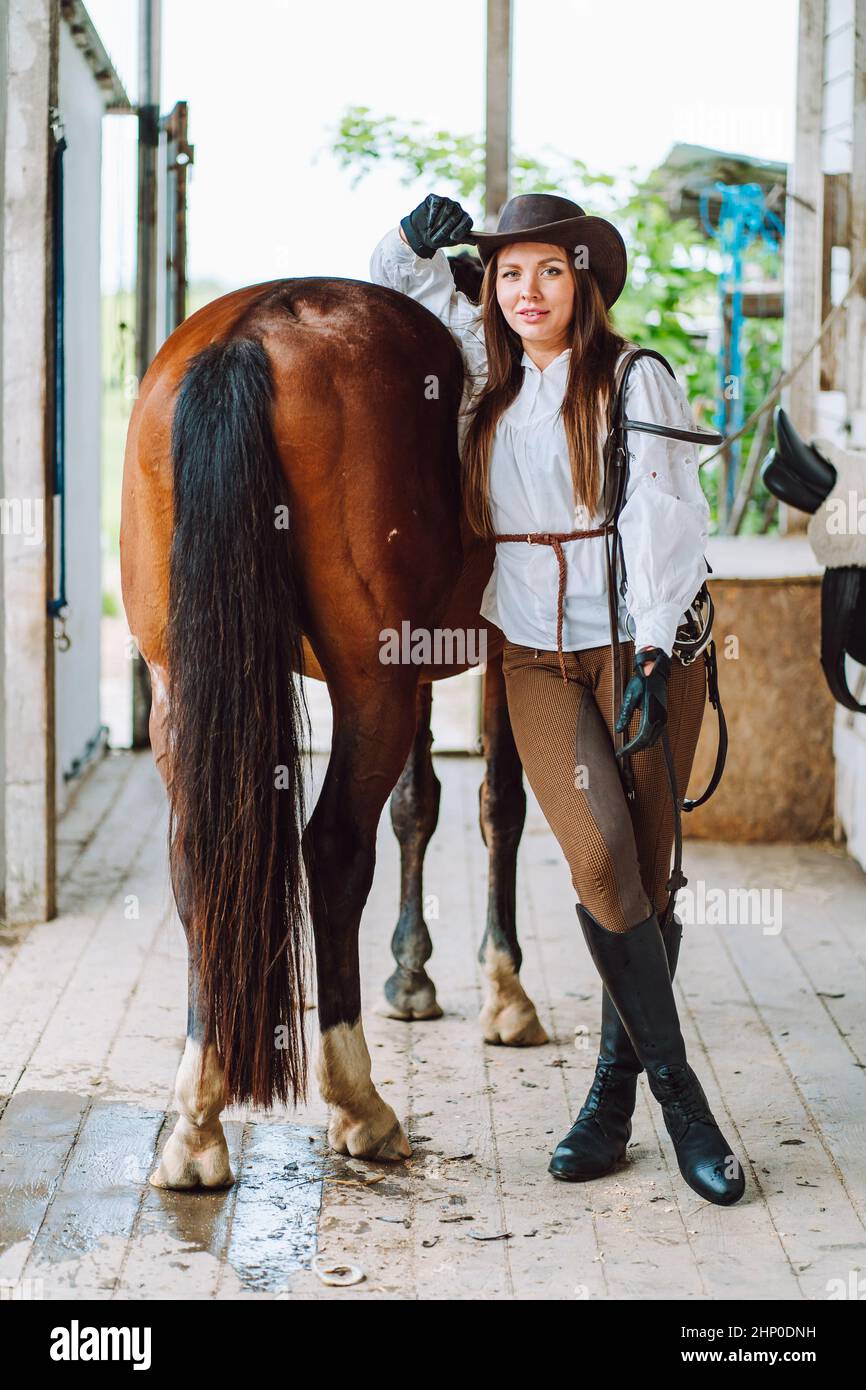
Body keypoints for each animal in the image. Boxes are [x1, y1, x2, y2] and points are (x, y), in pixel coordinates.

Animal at [119, 268, 546, 1190]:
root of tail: (250, 330)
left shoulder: (425, 666)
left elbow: (420, 804)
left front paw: (413, 975)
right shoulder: (502, 647)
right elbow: (500, 804)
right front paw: (504, 992)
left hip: (184, 688)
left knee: (198, 857)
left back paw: (197, 1118)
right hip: (369, 683)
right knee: (335, 849)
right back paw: (360, 1103)